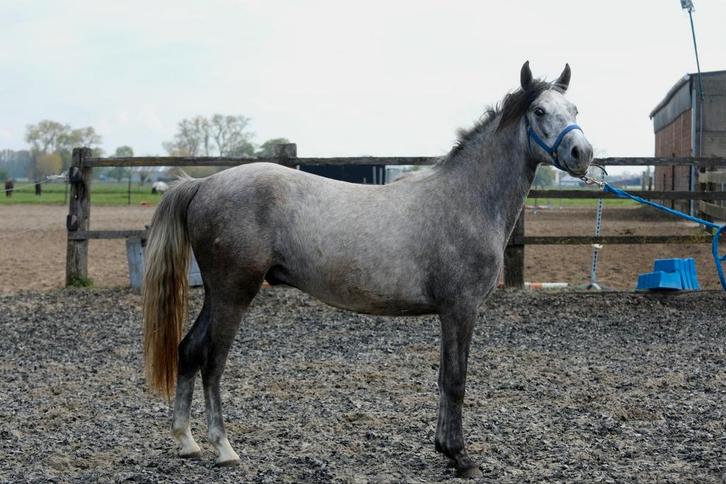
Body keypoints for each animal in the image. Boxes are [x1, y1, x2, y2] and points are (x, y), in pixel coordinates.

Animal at [142, 61, 593, 478]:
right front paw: (461, 457)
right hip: (234, 292)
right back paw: (223, 448)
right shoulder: (460, 309)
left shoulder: (451, 313)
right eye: (539, 110)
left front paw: (444, 448)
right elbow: (455, 380)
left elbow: (444, 378)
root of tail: (204, 183)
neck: (466, 200)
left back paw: (187, 442)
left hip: (218, 293)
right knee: (213, 362)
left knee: (189, 349)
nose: (582, 153)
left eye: (574, 108)